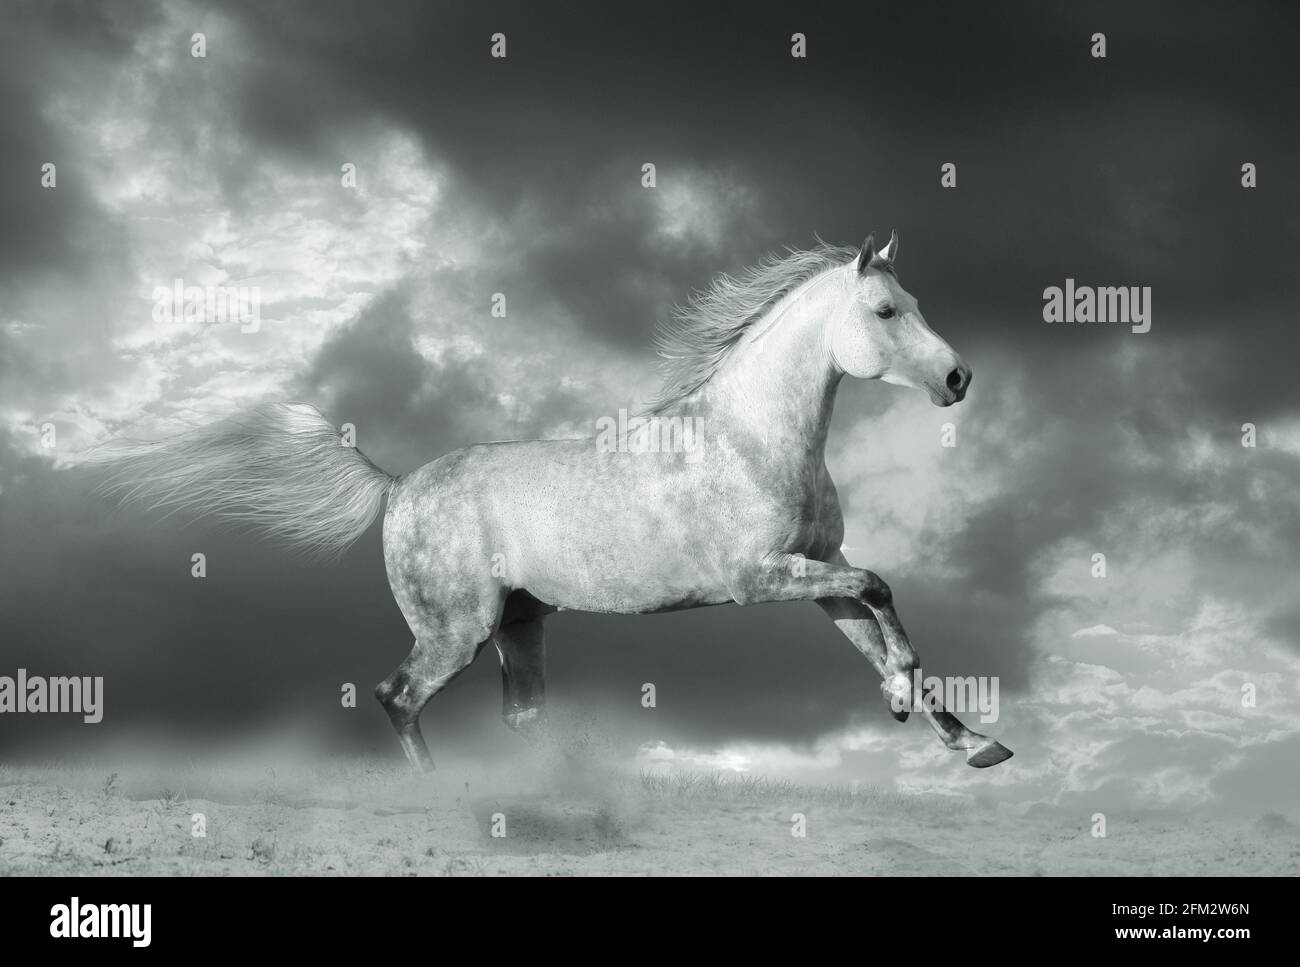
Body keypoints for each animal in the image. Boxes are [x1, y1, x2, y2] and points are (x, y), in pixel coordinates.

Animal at [102, 232, 1013, 771]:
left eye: (915, 303)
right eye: (885, 309)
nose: (960, 377)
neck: (749, 437)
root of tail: (396, 485)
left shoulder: (818, 565)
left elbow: (877, 621)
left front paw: (966, 738)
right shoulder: (759, 577)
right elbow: (882, 590)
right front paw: (915, 708)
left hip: (520, 626)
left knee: (519, 719)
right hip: (457, 632)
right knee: (397, 696)